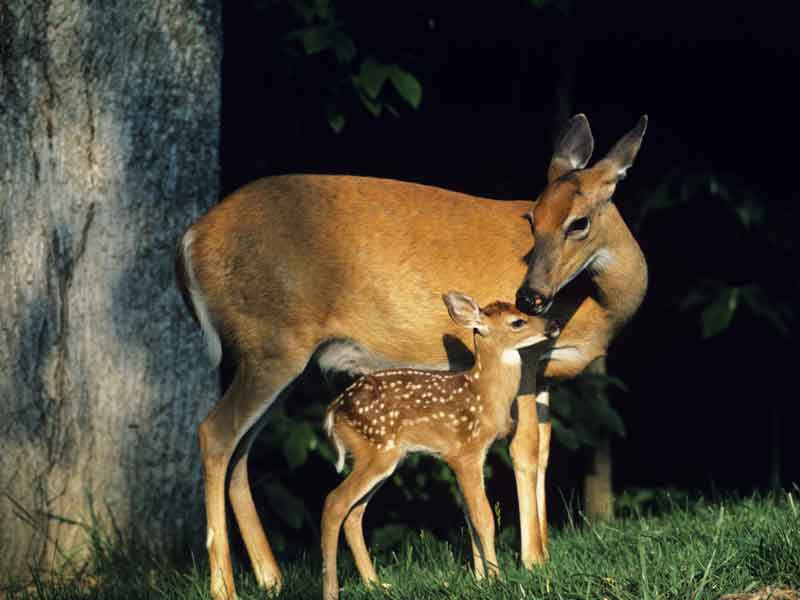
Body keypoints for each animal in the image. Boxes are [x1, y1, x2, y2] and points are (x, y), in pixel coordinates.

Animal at [177, 113, 648, 600]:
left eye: (578, 222)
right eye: (532, 220)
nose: (531, 297)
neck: (598, 305)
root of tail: (188, 241)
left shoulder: (546, 374)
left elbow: (545, 451)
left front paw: (524, 558)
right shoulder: (529, 363)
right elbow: (525, 451)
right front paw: (532, 561)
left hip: (281, 361)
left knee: (242, 449)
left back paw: (270, 577)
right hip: (272, 345)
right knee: (215, 433)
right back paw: (223, 586)